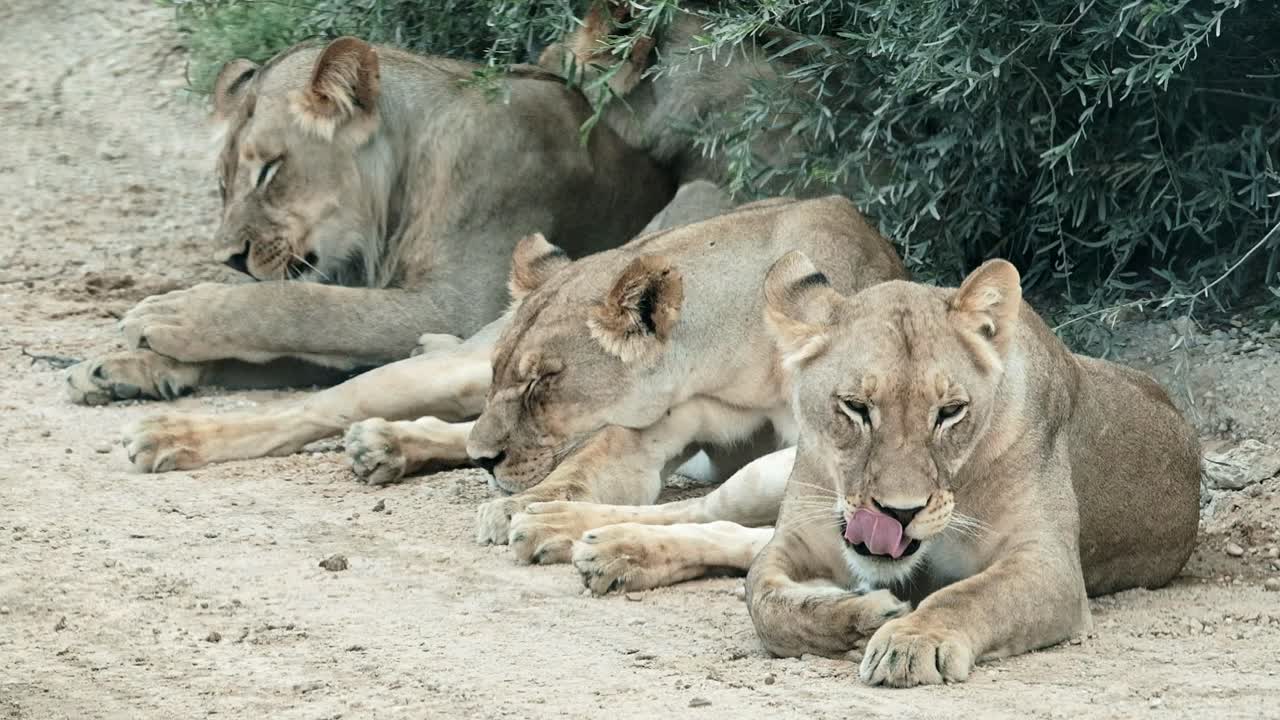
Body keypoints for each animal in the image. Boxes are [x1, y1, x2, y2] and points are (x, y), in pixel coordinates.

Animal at [65, 35, 673, 407]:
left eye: (269, 171)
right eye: (222, 182)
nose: (228, 259)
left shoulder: (455, 306)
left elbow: (302, 307)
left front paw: (174, 312)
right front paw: (121, 366)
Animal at [464, 195, 907, 564]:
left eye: (541, 380)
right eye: (496, 370)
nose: (480, 459)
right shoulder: (671, 416)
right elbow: (583, 469)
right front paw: (512, 508)